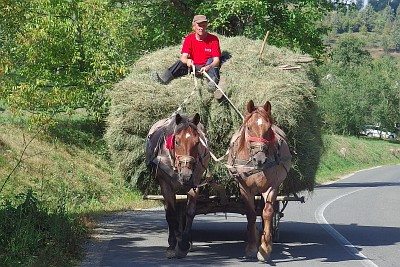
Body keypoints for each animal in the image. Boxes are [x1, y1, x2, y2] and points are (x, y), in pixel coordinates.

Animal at [146, 113, 209, 260]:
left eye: (197, 142)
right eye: (177, 141)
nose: (185, 175)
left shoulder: (194, 183)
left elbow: (189, 212)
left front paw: (184, 245)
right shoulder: (166, 185)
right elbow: (171, 214)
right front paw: (172, 246)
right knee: (171, 211)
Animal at [228, 100, 290, 262]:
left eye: (269, 129)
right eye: (249, 127)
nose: (260, 159)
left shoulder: (272, 187)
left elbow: (267, 213)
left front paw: (265, 248)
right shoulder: (244, 188)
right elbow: (250, 214)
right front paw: (251, 246)